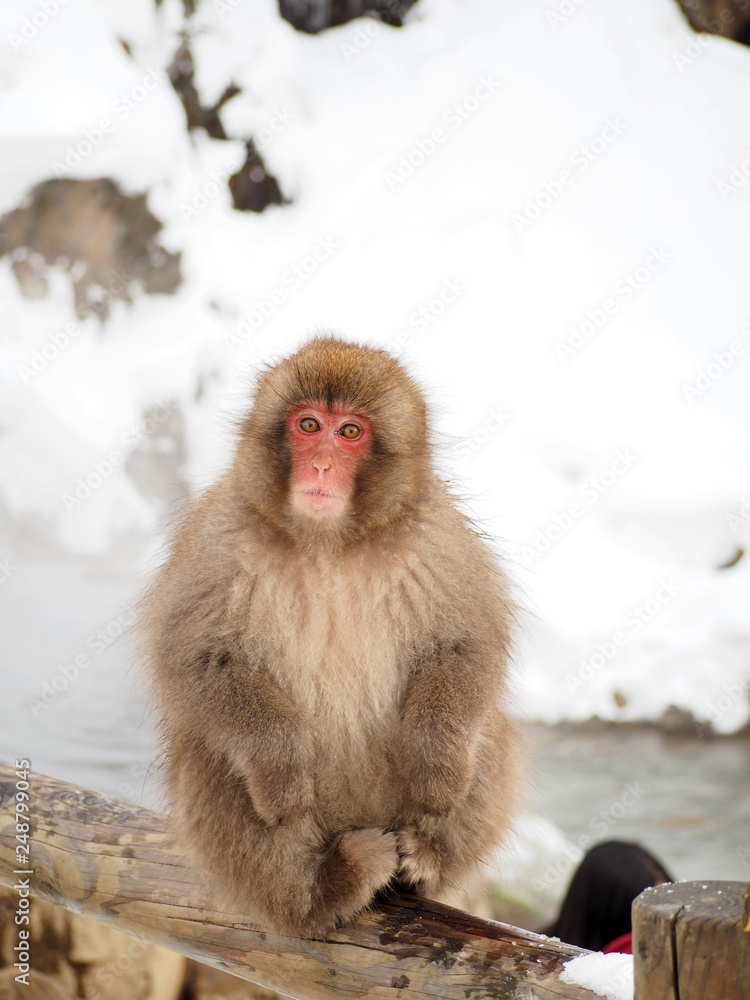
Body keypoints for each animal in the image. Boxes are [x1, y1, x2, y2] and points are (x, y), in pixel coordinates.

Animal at [140, 336, 521, 937]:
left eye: (349, 433)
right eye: (308, 424)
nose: (320, 463)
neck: (329, 543)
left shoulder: (434, 535)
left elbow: (465, 644)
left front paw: (437, 766)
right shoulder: (220, 534)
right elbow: (199, 657)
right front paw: (282, 767)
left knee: (485, 730)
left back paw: (427, 856)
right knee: (209, 751)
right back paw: (325, 886)